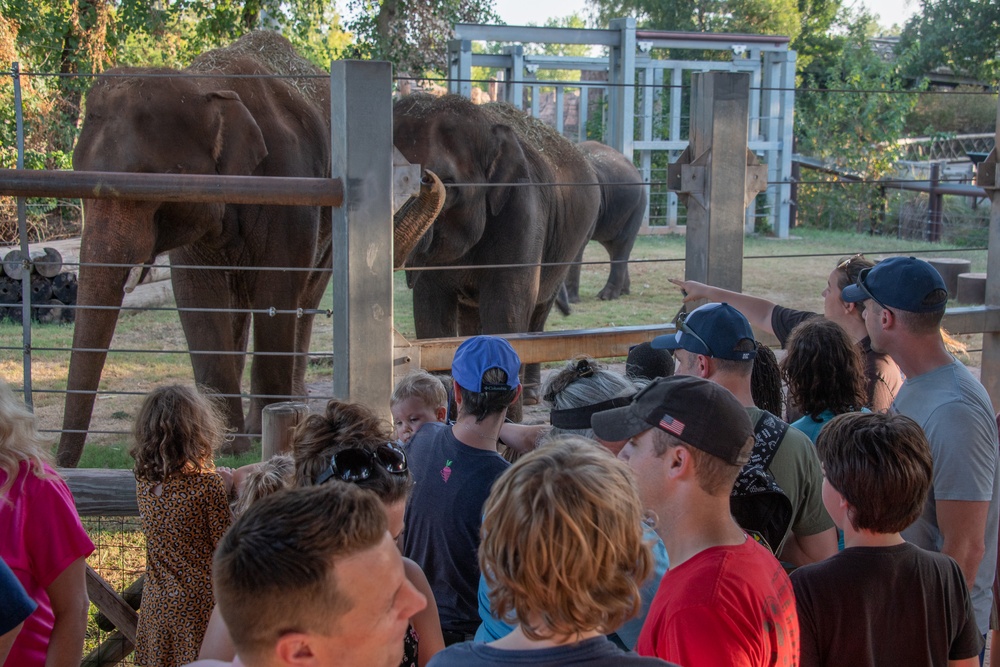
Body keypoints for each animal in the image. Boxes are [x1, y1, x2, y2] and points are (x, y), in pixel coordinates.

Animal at [58, 31, 336, 468]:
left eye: (149, 184)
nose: (59, 466)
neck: (206, 83)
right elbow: (196, 297)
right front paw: (227, 444)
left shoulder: (290, 186)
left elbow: (276, 288)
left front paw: (260, 436)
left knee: (304, 298)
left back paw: (290, 406)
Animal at [394, 95, 600, 408]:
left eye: (449, 183)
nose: (427, 178)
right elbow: (431, 316)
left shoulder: (522, 211)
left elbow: (506, 312)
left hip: (571, 244)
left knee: (538, 312)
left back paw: (530, 397)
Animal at [564, 144, 648, 306]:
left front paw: (570, 301)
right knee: (611, 246)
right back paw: (623, 292)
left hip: (636, 206)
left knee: (622, 243)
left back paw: (607, 296)